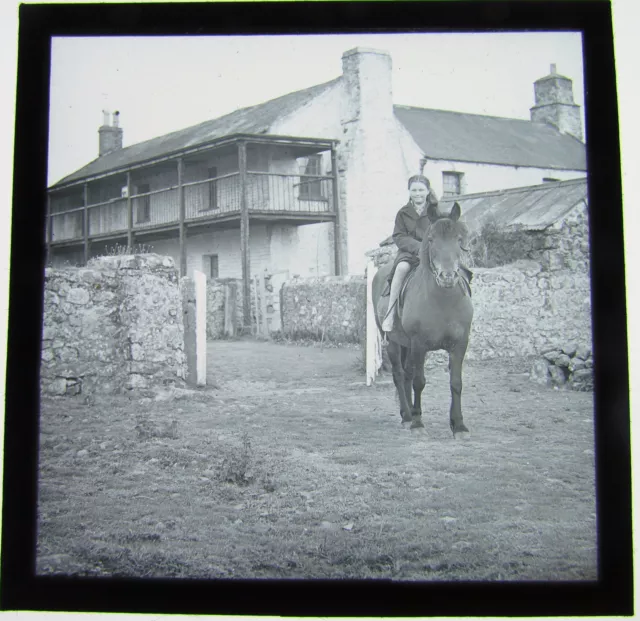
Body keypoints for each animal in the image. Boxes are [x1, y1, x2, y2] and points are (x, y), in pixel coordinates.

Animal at [372, 203, 472, 436]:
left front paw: (458, 424)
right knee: (400, 375)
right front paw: (418, 422)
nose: (447, 276)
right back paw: (407, 416)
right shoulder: (419, 344)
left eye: (459, 239)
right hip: (394, 343)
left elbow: (456, 382)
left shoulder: (459, 345)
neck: (444, 300)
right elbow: (419, 382)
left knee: (407, 374)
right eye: (431, 239)